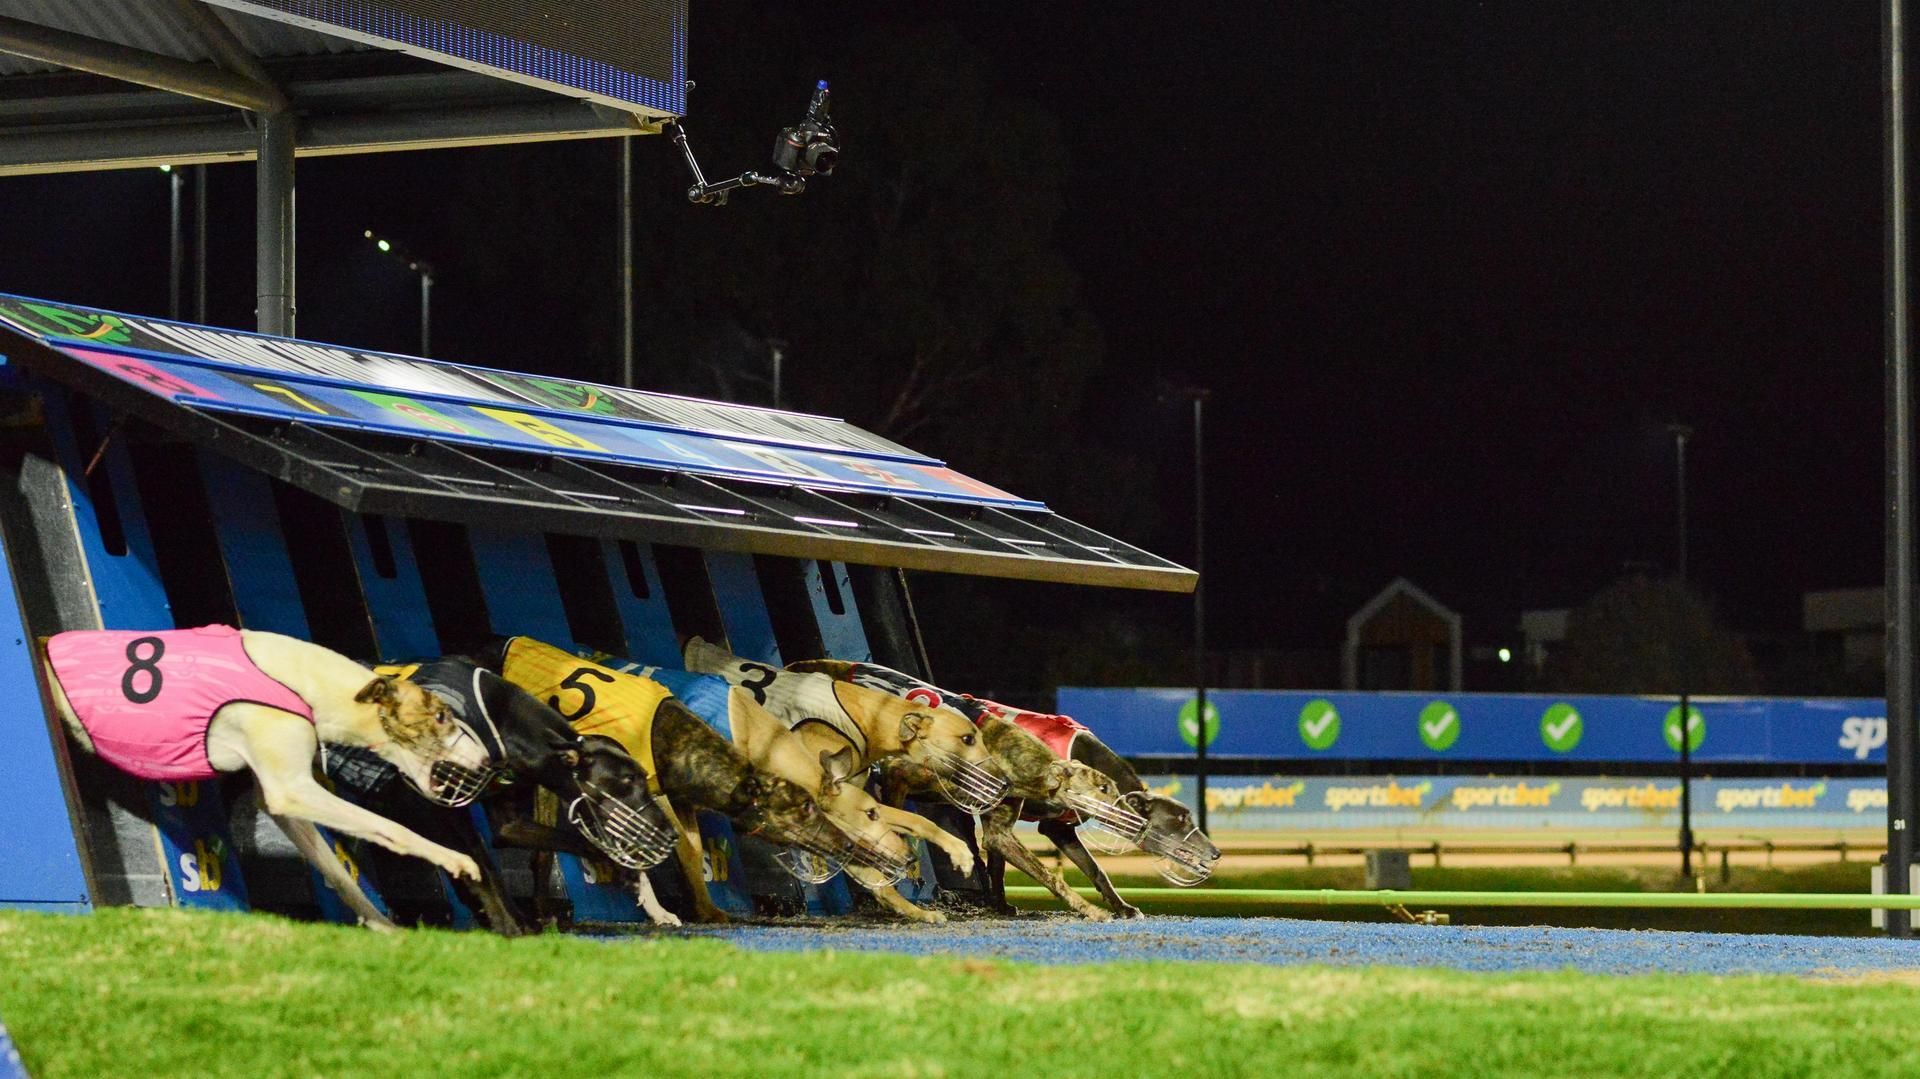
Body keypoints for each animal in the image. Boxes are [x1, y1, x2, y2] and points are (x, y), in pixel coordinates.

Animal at [40, 626, 488, 927]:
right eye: (441, 716)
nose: (486, 762)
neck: (303, 680)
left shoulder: (284, 804)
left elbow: (336, 871)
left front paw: (385, 928)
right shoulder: (291, 790)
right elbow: (391, 827)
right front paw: (454, 859)